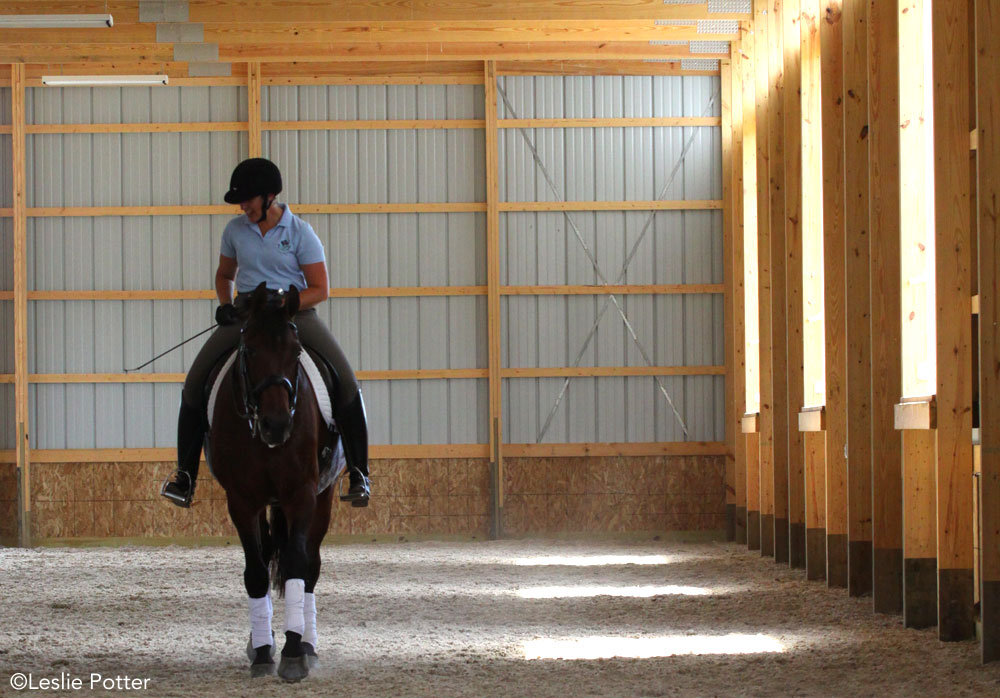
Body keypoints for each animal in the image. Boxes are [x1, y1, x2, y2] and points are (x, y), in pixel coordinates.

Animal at [205, 282, 342, 680]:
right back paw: (258, 641)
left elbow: (298, 565)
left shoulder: (302, 494)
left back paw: (308, 644)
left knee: (311, 566)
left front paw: (294, 652)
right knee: (266, 557)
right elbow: (255, 572)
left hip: (323, 497)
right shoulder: (241, 500)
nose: (277, 425)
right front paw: (265, 652)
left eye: (295, 351)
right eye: (249, 349)